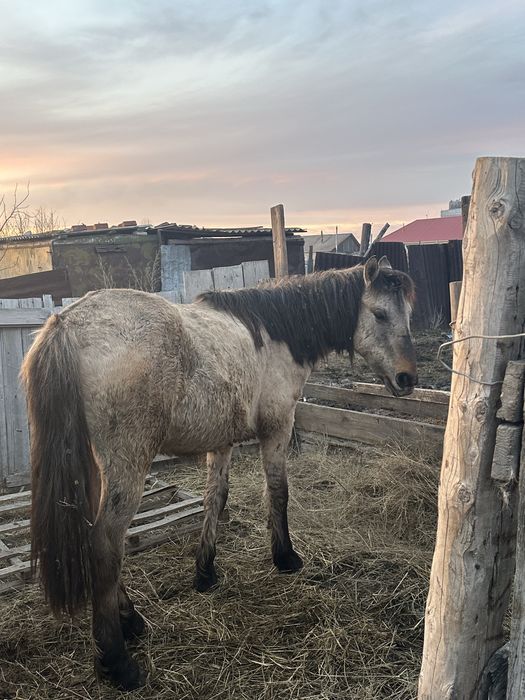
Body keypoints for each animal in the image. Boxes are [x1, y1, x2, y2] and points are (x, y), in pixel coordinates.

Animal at [21, 255, 417, 690]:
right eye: (379, 314)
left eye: (407, 315)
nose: (408, 379)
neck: (275, 334)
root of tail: (66, 325)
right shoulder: (277, 428)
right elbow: (278, 492)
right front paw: (285, 557)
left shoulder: (222, 441)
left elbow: (216, 498)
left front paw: (205, 572)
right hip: (128, 465)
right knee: (105, 541)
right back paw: (117, 660)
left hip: (92, 467)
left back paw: (131, 621)